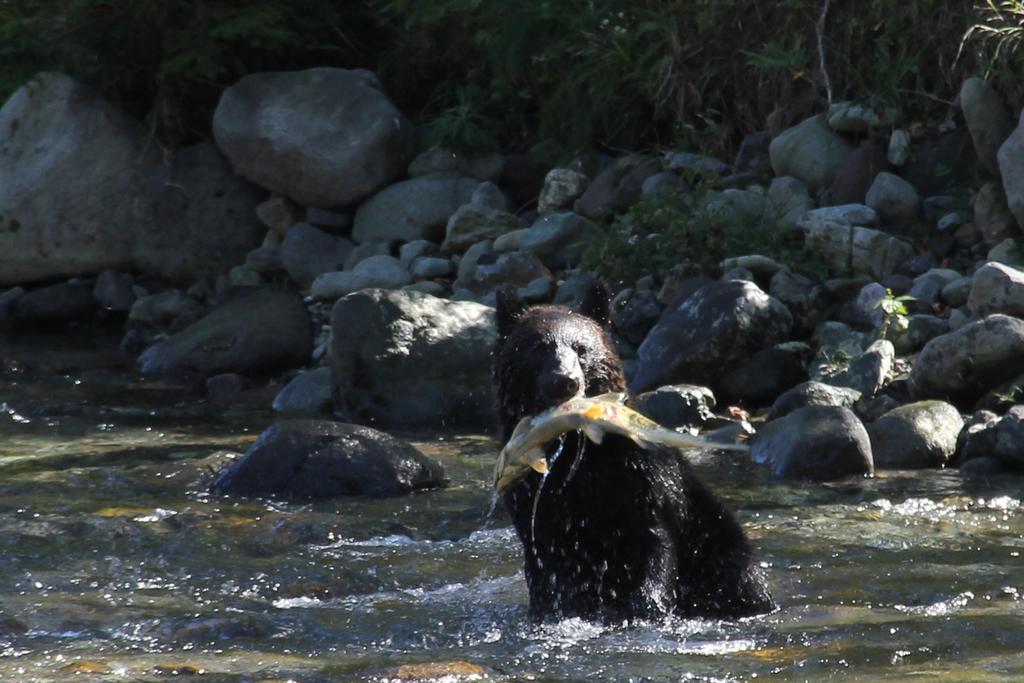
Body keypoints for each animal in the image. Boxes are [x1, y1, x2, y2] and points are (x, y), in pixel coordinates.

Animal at [491, 282, 770, 626]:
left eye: (581, 348)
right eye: (538, 347)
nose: (565, 381)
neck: (574, 446)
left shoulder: (639, 478)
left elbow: (653, 542)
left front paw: (645, 607)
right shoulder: (534, 502)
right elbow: (545, 568)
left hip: (717, 540)